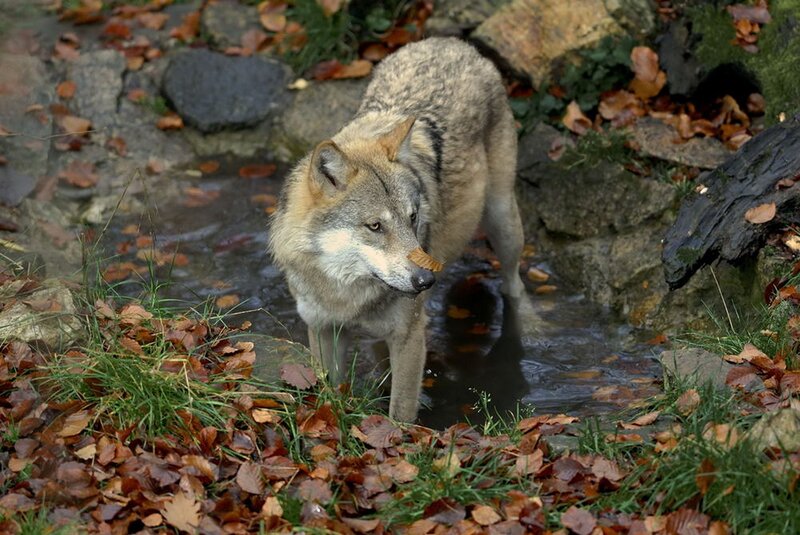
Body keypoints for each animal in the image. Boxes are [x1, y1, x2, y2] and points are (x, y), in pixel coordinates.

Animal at [269, 37, 525, 422]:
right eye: (375, 226)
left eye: (413, 217)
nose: (425, 281)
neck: (346, 293)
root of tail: (450, 42)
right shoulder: (323, 329)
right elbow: (330, 394)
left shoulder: (409, 337)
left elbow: (400, 415)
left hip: (502, 221)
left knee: (514, 285)